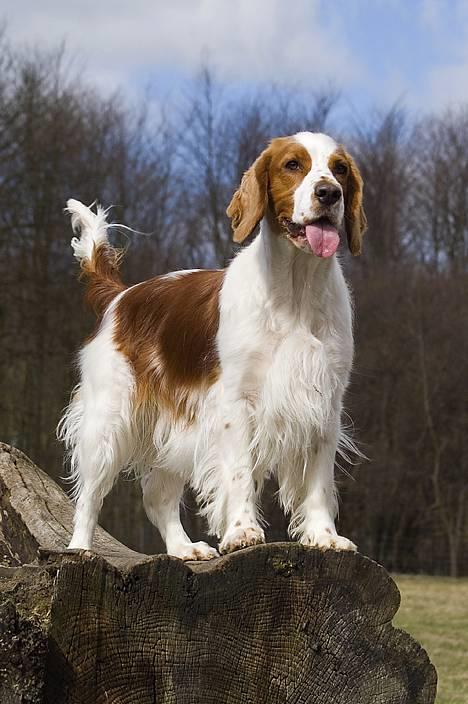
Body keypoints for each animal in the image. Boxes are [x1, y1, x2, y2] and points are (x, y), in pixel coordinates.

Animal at [57, 132, 366, 560]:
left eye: (340, 169)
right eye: (292, 165)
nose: (329, 193)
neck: (296, 290)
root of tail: (121, 296)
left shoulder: (324, 401)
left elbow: (318, 480)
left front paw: (324, 536)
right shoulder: (235, 403)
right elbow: (238, 474)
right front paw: (243, 532)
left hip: (171, 427)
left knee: (158, 496)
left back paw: (184, 548)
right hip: (109, 418)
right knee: (89, 494)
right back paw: (80, 548)